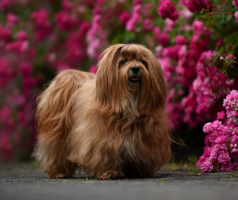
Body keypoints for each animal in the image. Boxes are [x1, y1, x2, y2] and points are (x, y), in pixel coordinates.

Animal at [33, 43, 171, 180]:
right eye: (124, 61)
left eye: (142, 61)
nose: (136, 68)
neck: (129, 106)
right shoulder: (103, 141)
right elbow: (106, 156)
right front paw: (110, 172)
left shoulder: (145, 139)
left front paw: (137, 172)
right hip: (58, 135)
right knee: (56, 151)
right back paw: (59, 172)